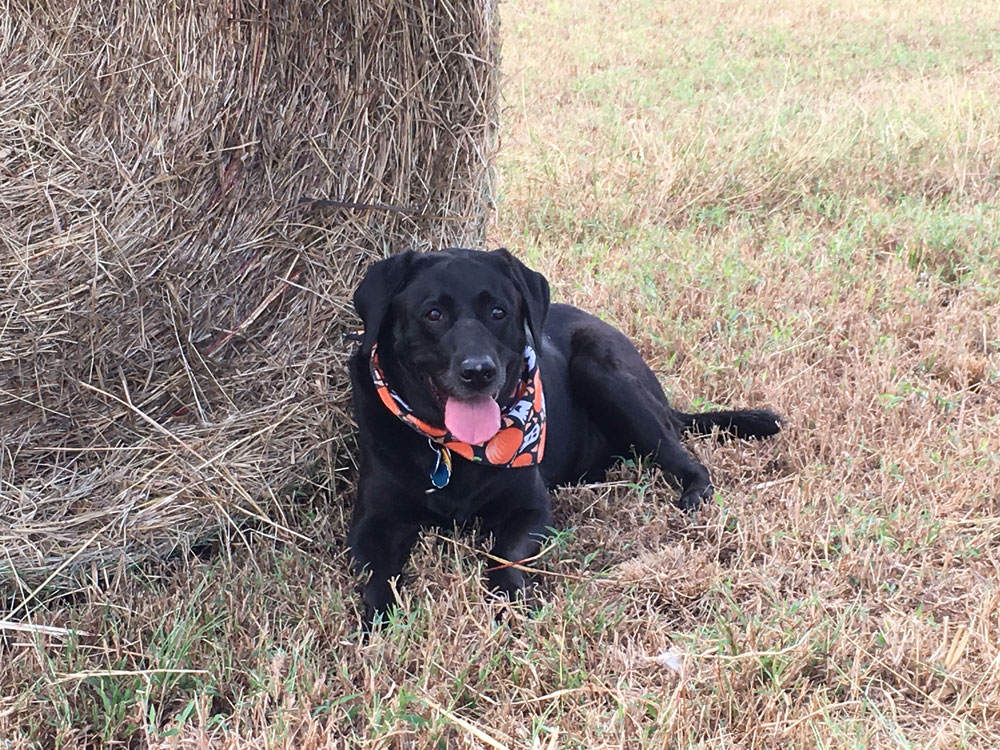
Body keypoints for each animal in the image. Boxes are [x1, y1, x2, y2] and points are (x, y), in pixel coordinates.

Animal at [350, 250, 780, 624]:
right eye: (433, 314)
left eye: (498, 312)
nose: (478, 371)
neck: (451, 448)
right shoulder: (373, 522)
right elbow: (377, 577)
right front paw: (379, 621)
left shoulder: (530, 510)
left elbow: (503, 556)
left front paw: (508, 602)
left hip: (600, 372)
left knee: (684, 455)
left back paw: (693, 493)